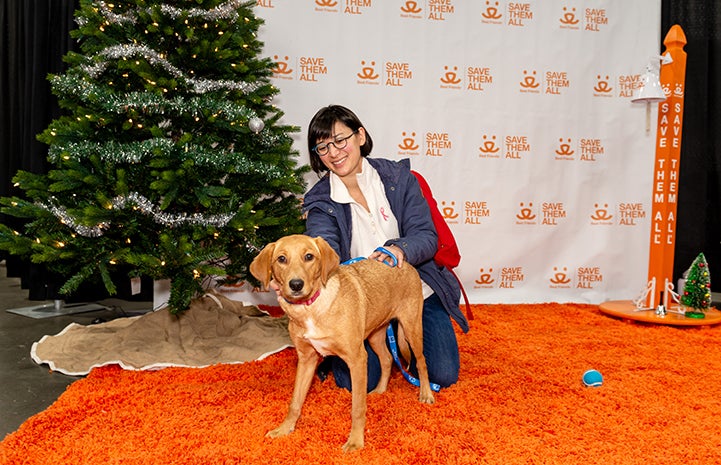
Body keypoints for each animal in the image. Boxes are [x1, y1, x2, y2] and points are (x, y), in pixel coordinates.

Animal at [250, 234, 436, 452]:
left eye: (309, 256)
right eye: (281, 259)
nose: (296, 284)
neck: (310, 308)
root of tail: (405, 264)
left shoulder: (357, 359)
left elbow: (357, 407)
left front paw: (355, 441)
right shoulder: (306, 360)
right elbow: (295, 402)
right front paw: (285, 429)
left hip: (412, 328)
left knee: (421, 362)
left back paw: (426, 393)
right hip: (375, 335)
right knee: (388, 359)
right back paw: (381, 390)